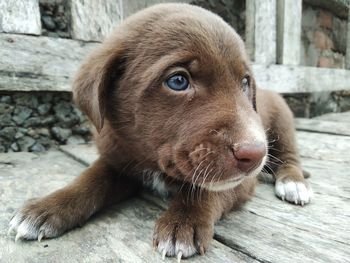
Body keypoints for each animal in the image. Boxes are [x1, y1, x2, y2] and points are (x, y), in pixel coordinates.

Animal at [9, 3, 314, 260]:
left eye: (244, 82)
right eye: (178, 81)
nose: (255, 154)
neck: (151, 160)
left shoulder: (241, 180)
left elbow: (206, 189)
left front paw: (183, 222)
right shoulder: (117, 158)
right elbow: (90, 178)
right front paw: (47, 207)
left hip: (283, 122)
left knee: (290, 157)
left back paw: (293, 183)